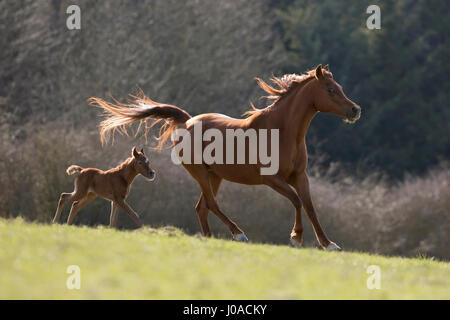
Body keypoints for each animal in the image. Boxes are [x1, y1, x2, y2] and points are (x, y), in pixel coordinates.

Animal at [89, 64, 360, 250]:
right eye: (330, 90)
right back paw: (238, 233)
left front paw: (329, 244)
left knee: (202, 207)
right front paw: (296, 237)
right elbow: (296, 201)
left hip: (215, 176)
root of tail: (187, 121)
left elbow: (310, 206)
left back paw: (209, 239)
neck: (282, 131)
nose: (355, 110)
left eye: (340, 88)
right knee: (211, 204)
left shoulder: (300, 176)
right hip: (200, 173)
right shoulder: (272, 179)